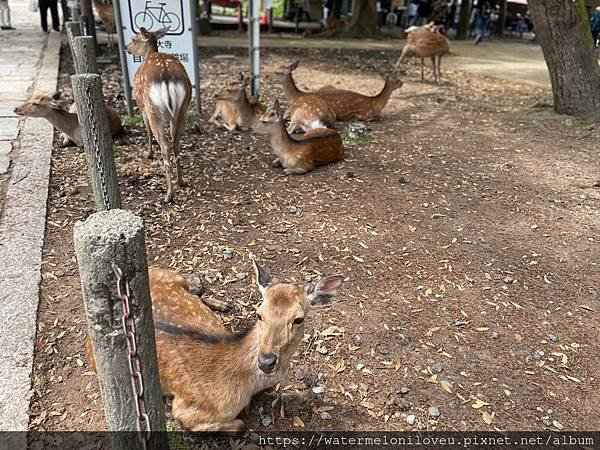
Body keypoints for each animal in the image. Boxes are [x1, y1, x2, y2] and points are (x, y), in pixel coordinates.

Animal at [86, 258, 344, 430]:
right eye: (259, 314)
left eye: (298, 319)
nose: (266, 361)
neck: (247, 385)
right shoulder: (188, 409)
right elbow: (240, 425)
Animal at [125, 27, 192, 203]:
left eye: (134, 39)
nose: (126, 48)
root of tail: (166, 76)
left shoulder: (142, 107)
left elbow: (146, 130)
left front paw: (148, 154)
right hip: (183, 108)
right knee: (175, 143)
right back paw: (181, 181)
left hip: (152, 108)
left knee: (164, 145)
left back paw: (169, 194)